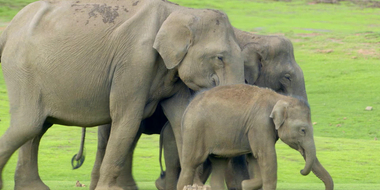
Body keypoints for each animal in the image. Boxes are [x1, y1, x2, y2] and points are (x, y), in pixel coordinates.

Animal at [0, 0, 246, 189]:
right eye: (219, 58)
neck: (178, 11)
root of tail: (10, 28)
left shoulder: (172, 74)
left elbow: (180, 119)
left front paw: (194, 187)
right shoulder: (135, 61)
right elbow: (127, 118)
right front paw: (108, 189)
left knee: (38, 127)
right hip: (22, 69)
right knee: (28, 125)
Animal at [176, 84, 332, 190]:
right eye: (303, 130)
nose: (300, 170)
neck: (281, 98)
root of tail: (188, 107)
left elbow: (254, 158)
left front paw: (245, 184)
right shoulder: (260, 124)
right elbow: (267, 157)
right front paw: (246, 183)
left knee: (219, 166)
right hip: (194, 131)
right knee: (190, 165)